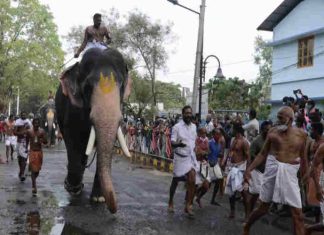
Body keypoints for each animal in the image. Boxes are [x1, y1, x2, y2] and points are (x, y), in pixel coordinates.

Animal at [55, 47, 131, 213]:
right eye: (88, 86)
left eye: (121, 85)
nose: (114, 210)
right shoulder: (72, 109)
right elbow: (72, 140)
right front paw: (73, 188)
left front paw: (98, 198)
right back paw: (75, 186)